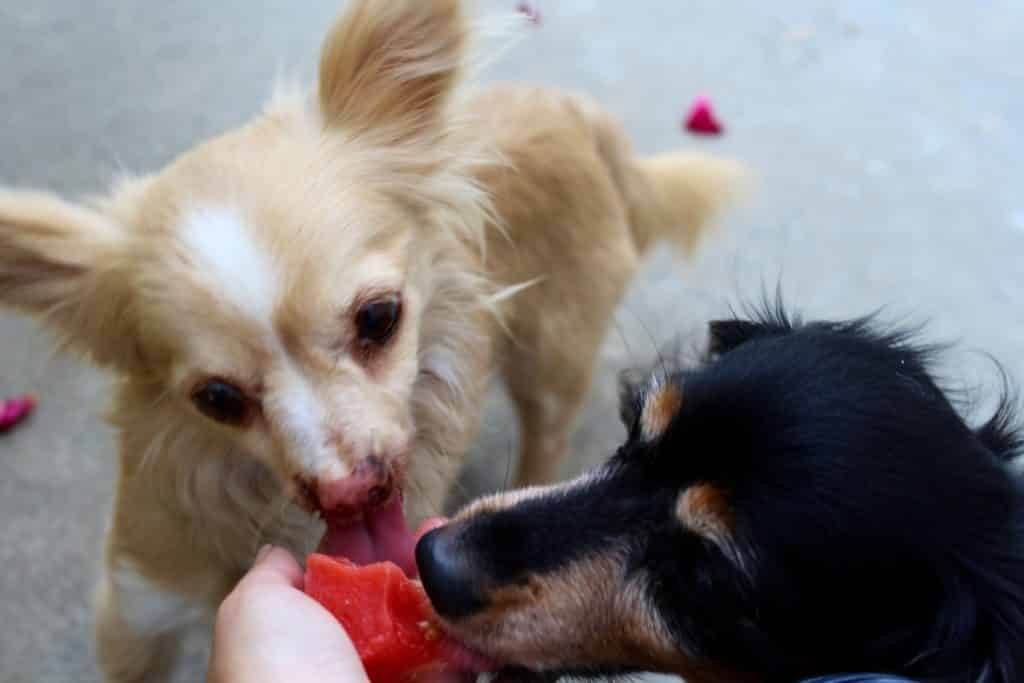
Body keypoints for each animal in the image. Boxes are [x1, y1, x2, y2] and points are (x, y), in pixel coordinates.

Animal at [0, 2, 741, 679]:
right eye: (216, 399)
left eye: (379, 318)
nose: (349, 494)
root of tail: (577, 112)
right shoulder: (135, 611)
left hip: (552, 360)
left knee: (546, 432)